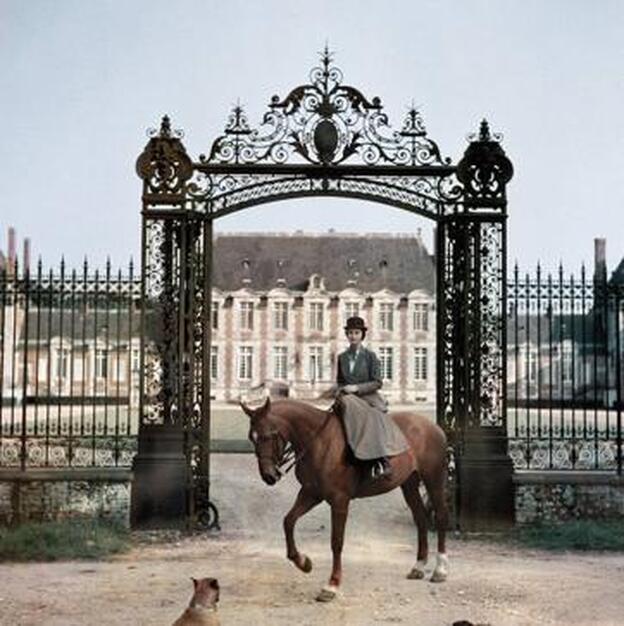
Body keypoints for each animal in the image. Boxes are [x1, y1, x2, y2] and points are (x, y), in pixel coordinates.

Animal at [239, 394, 448, 600]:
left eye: (267, 436)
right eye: (251, 437)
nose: (269, 476)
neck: (320, 441)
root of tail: (432, 426)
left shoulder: (339, 500)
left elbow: (336, 542)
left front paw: (331, 585)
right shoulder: (310, 494)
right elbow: (288, 521)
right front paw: (303, 562)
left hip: (434, 480)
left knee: (440, 517)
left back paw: (440, 570)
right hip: (409, 485)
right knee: (420, 518)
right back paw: (418, 566)